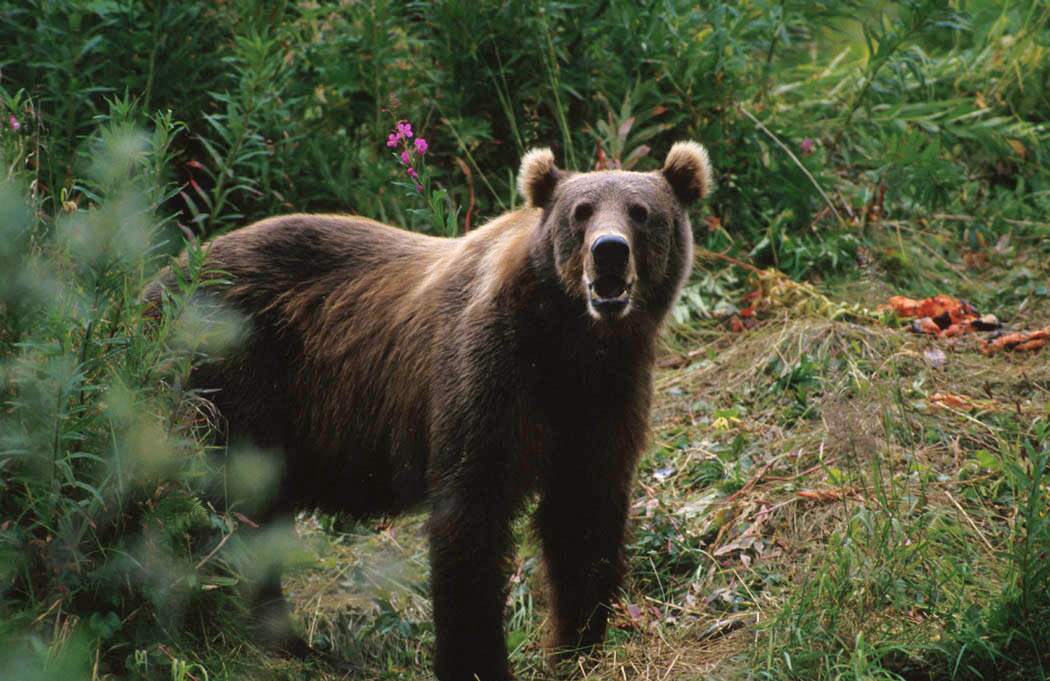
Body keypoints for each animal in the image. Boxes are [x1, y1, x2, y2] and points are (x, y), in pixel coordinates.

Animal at [145, 141, 713, 681]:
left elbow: (583, 513)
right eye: (582, 211)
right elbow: (471, 514)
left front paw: (578, 646)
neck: (568, 342)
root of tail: (159, 280)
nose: (609, 252)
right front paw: (478, 661)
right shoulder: (488, 374)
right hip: (231, 376)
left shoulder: (603, 397)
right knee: (223, 506)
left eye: (641, 212)